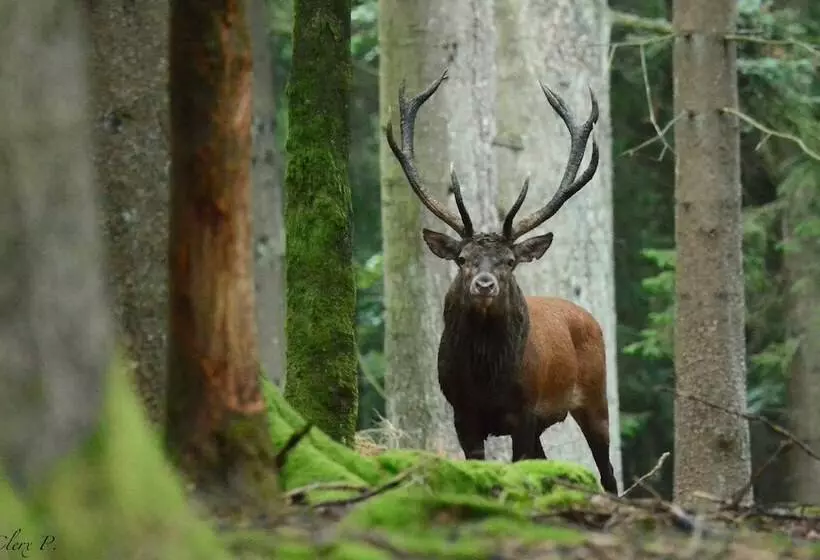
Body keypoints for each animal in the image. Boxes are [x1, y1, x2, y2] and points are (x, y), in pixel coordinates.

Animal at [385, 69, 618, 495]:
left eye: (509, 262)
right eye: (462, 259)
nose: (484, 284)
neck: (487, 379)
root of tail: (588, 318)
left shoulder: (526, 411)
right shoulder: (463, 413)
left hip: (595, 397)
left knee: (607, 471)